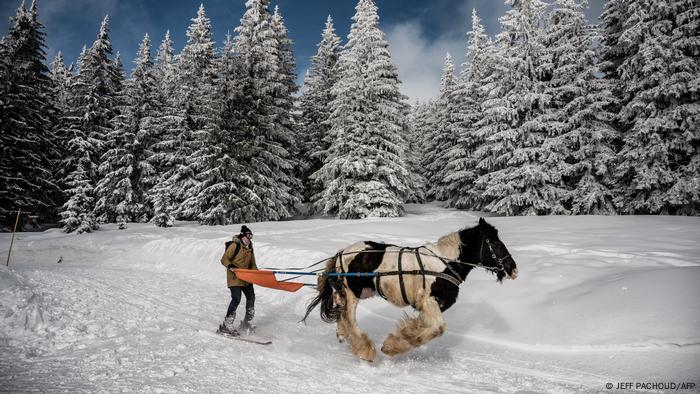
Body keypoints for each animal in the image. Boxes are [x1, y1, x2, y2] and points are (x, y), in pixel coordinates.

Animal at [304, 217, 516, 362]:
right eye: (496, 244)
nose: (513, 269)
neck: (445, 263)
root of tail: (343, 252)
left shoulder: (430, 306)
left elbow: (426, 327)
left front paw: (403, 336)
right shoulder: (429, 301)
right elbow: (438, 328)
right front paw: (393, 345)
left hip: (354, 292)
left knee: (341, 311)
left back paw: (343, 335)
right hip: (352, 292)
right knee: (349, 318)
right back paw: (365, 350)